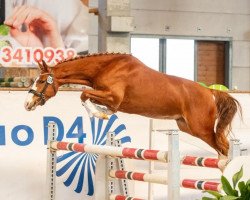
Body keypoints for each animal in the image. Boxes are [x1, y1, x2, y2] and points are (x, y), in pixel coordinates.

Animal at [24, 52, 240, 156]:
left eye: (41, 81)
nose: (27, 103)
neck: (106, 67)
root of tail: (210, 91)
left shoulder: (114, 97)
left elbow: (84, 95)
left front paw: (99, 114)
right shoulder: (107, 96)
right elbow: (88, 97)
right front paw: (101, 112)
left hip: (202, 129)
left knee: (224, 147)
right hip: (186, 127)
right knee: (222, 147)